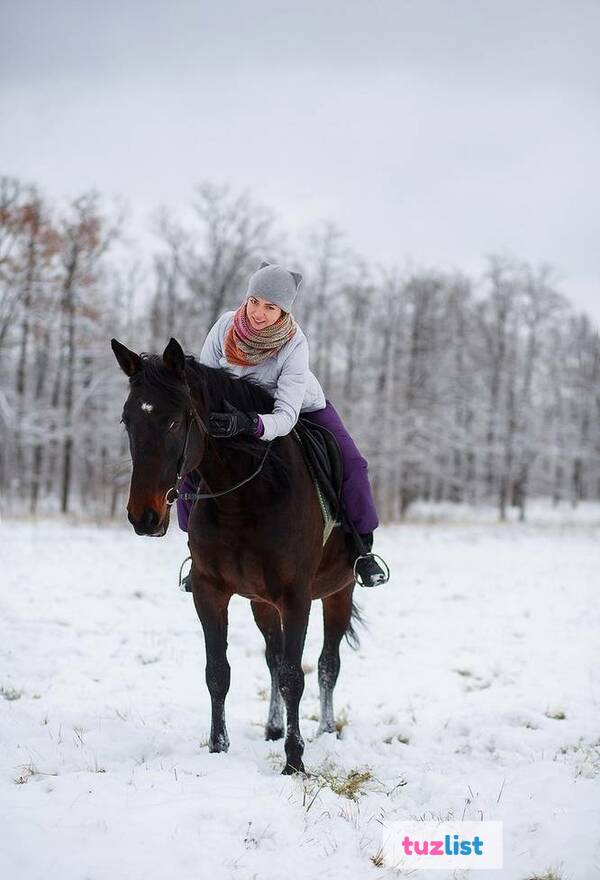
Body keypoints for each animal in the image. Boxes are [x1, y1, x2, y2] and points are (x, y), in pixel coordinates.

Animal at [111, 340, 360, 772]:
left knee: (328, 663)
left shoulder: (296, 598)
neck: (243, 497)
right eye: (128, 420)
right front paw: (218, 747)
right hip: (262, 603)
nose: (143, 516)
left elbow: (296, 676)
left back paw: (326, 731)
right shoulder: (209, 592)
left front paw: (294, 761)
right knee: (273, 658)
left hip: (338, 593)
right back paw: (273, 728)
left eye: (175, 421)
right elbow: (219, 672)